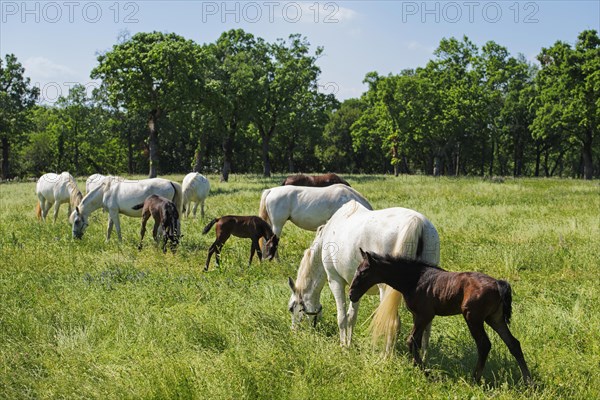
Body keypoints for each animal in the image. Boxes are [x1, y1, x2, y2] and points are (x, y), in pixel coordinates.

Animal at [288, 200, 438, 354]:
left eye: (291, 308)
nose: (294, 332)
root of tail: (416, 221)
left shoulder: (335, 281)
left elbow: (342, 317)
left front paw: (343, 346)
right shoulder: (355, 288)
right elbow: (351, 316)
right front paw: (349, 343)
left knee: (392, 322)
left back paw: (385, 356)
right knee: (426, 324)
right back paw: (423, 357)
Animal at [350, 250, 532, 384]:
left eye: (364, 271)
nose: (352, 294)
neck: (414, 279)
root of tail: (498, 283)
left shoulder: (424, 315)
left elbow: (411, 340)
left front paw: (426, 373)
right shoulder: (418, 316)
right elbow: (416, 342)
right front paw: (419, 369)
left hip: (473, 317)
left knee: (484, 344)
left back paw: (474, 379)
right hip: (495, 318)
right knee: (513, 344)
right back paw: (528, 382)